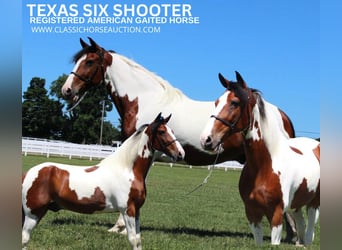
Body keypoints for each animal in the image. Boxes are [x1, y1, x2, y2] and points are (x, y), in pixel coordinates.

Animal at [21, 114, 184, 250]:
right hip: (33, 214)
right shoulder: (128, 210)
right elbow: (133, 240)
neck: (127, 169)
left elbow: (138, 240)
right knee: (24, 239)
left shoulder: (137, 211)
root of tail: (27, 173)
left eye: (172, 130)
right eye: (162, 131)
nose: (181, 154)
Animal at [200, 71, 320, 245]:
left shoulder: (276, 216)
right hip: (296, 204)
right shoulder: (252, 214)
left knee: (310, 231)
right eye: (216, 102)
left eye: (234, 103)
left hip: (314, 204)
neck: (265, 166)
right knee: (301, 225)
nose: (206, 140)